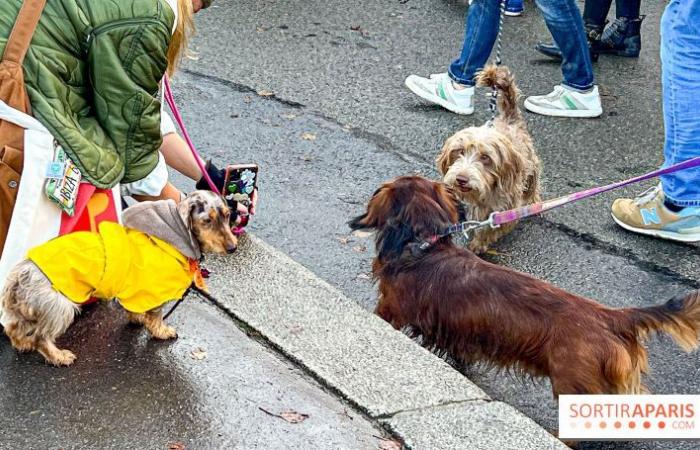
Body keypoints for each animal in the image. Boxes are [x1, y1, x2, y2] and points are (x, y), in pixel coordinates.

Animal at [0, 190, 238, 366]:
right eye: (207, 220)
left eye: (228, 215)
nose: (233, 248)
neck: (172, 238)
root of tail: (18, 277)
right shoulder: (154, 292)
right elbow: (156, 317)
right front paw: (162, 331)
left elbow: (134, 310)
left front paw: (138, 319)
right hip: (60, 306)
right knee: (41, 338)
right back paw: (58, 356)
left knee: (13, 328)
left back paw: (22, 344)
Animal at [438, 65, 540, 255]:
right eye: (459, 151)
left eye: (485, 157)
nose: (461, 179)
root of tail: (509, 118)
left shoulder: (506, 209)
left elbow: (490, 229)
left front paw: (478, 243)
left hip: (532, 164)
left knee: (533, 185)